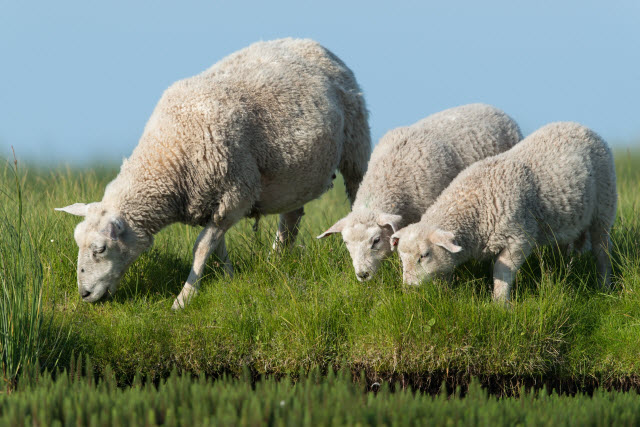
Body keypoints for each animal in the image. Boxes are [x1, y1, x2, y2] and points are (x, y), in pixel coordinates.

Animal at [58, 38, 376, 310]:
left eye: (100, 249)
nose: (84, 294)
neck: (168, 154)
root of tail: (310, 42)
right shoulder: (210, 200)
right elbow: (217, 246)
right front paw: (229, 278)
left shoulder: (236, 195)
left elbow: (201, 247)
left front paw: (184, 299)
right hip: (297, 174)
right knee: (292, 216)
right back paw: (276, 260)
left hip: (356, 144)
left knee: (357, 194)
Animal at [392, 120, 616, 302]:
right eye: (401, 259)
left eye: (424, 255)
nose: (409, 290)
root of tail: (579, 126)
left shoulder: (518, 238)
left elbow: (501, 271)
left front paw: (500, 304)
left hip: (604, 206)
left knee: (602, 250)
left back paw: (605, 285)